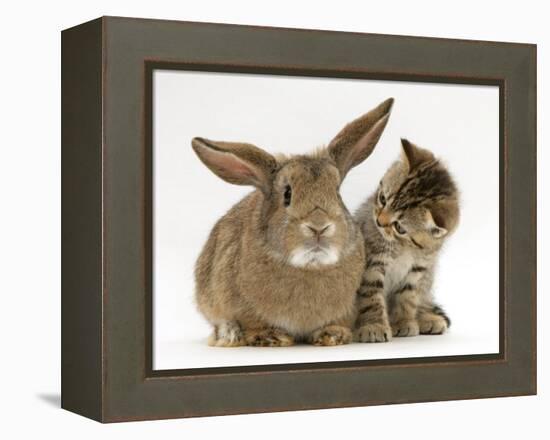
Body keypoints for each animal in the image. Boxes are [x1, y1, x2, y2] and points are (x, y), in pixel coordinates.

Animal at [356, 139, 460, 342]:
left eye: (399, 227)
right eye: (382, 199)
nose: (379, 222)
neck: (405, 247)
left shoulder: (419, 269)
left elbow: (408, 297)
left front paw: (403, 322)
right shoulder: (372, 262)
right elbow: (371, 295)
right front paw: (375, 326)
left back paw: (428, 318)